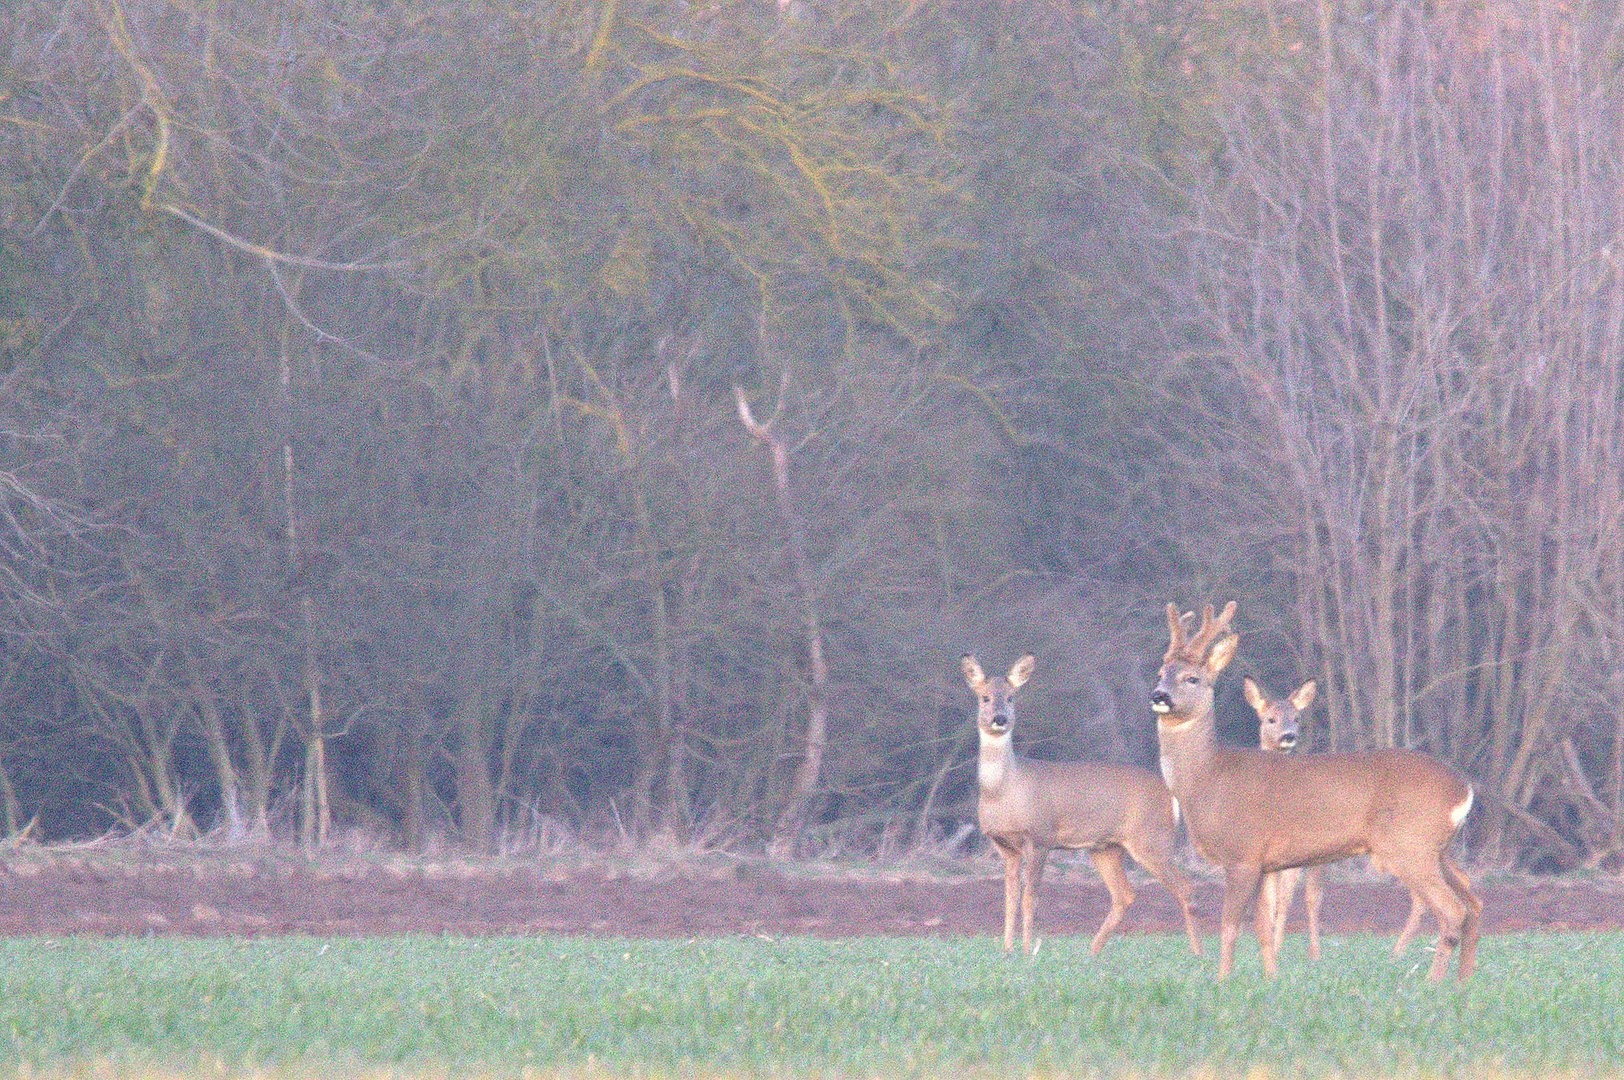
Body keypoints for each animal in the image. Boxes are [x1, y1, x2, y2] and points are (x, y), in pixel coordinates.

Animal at [961, 652, 1208, 954]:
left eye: (1011, 697)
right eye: (984, 697)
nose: (1000, 718)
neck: (1004, 791)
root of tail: (1170, 794)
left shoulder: (1040, 837)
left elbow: (1030, 897)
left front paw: (1027, 951)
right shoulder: (1004, 845)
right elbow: (1009, 899)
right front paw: (1007, 950)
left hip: (1151, 839)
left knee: (1185, 887)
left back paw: (1198, 952)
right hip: (1106, 847)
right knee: (1124, 894)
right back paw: (1092, 952)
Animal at [1247, 678, 1429, 954]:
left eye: (1297, 718)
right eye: (1270, 719)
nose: (1289, 736)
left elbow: (1296, 898)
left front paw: (1299, 952)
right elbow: (1272, 899)